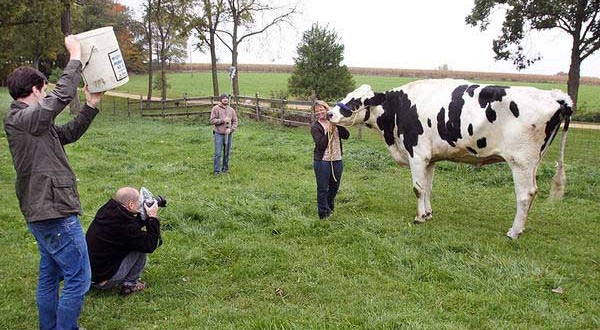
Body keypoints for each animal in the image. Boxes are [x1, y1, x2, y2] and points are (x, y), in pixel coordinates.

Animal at [328, 80, 572, 240]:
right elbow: (427, 188)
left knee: (525, 194)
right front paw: (427, 214)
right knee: (533, 192)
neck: (398, 108)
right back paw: (521, 228)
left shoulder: (417, 154)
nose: (330, 113)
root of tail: (555, 96)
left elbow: (418, 188)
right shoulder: (430, 158)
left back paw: (513, 232)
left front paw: (419, 217)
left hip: (521, 161)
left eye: (356, 100)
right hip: (533, 162)